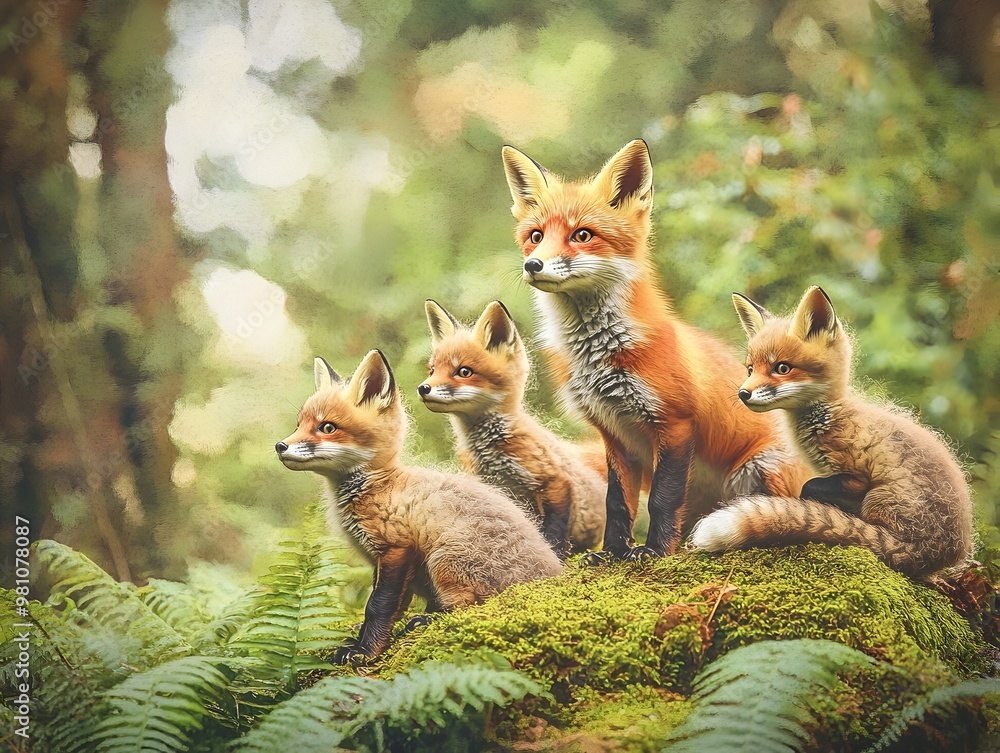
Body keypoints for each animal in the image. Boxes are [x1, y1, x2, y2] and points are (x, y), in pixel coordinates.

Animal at [276, 350, 562, 662]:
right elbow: (390, 606)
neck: (379, 485)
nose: (280, 446)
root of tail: (552, 574)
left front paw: (365, 651)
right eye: (299, 425)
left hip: (445, 559)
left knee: (471, 606)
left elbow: (378, 606)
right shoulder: (382, 561)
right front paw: (363, 641)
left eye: (327, 427)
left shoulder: (397, 549)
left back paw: (429, 620)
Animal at [418, 299, 607, 558]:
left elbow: (554, 531)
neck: (492, 450)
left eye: (464, 371)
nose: (423, 388)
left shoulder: (554, 481)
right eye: (433, 370)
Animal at [501, 139, 812, 562]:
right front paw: (613, 553)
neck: (600, 356)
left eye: (582, 235)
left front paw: (653, 551)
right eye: (535, 236)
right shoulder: (614, 433)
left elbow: (662, 500)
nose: (533, 265)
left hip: (760, 467)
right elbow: (618, 502)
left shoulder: (674, 423)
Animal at [688, 286, 974, 579]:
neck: (829, 416)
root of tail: (936, 555)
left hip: (878, 499)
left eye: (782, 368)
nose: (743, 394)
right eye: (750, 369)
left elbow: (809, 488)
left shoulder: (856, 477)